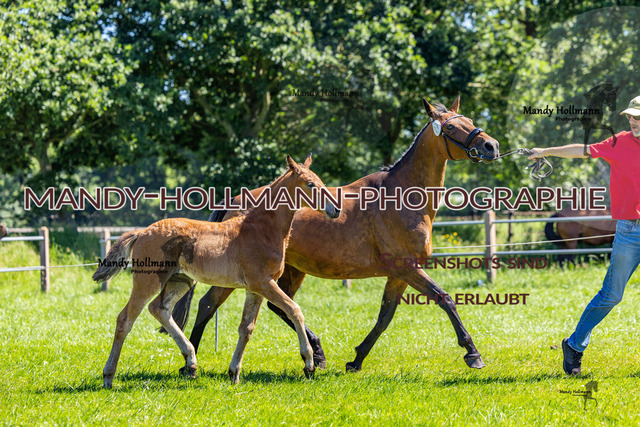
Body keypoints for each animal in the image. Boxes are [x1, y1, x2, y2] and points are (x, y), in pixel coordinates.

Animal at [93, 155, 340, 388]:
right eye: (310, 184)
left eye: (320, 181)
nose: (336, 210)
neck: (261, 229)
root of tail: (142, 232)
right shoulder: (264, 283)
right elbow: (294, 310)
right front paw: (309, 364)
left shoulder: (255, 289)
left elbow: (246, 328)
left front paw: (234, 373)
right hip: (149, 281)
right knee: (125, 319)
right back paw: (108, 377)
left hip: (180, 281)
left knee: (160, 309)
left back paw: (191, 363)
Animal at [170, 95, 500, 372]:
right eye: (452, 127)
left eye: (470, 119)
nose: (491, 146)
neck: (400, 196)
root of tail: (235, 200)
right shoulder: (408, 268)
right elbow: (445, 299)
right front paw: (472, 353)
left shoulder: (399, 274)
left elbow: (384, 317)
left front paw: (356, 359)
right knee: (208, 304)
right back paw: (190, 361)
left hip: (288, 272)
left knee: (279, 306)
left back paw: (316, 352)